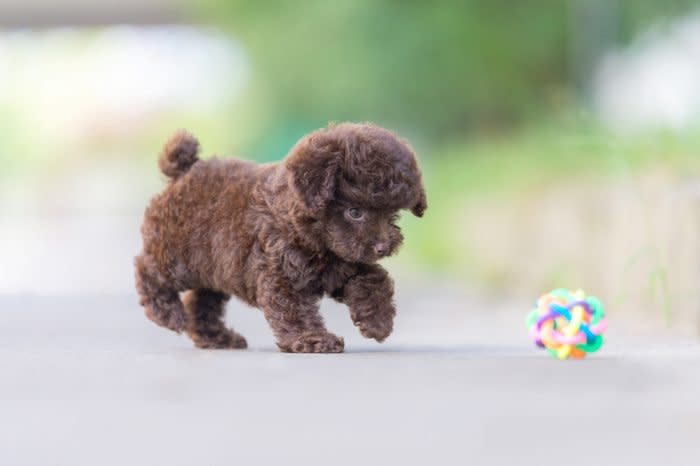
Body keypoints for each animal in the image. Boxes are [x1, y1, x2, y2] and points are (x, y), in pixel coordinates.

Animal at [134, 122, 424, 352]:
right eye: (355, 212)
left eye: (392, 215)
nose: (383, 246)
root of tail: (183, 171)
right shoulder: (282, 274)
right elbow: (295, 310)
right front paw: (313, 339)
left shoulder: (343, 263)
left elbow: (375, 278)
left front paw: (378, 321)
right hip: (177, 254)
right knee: (148, 268)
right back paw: (167, 314)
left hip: (212, 267)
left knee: (201, 302)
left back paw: (217, 338)